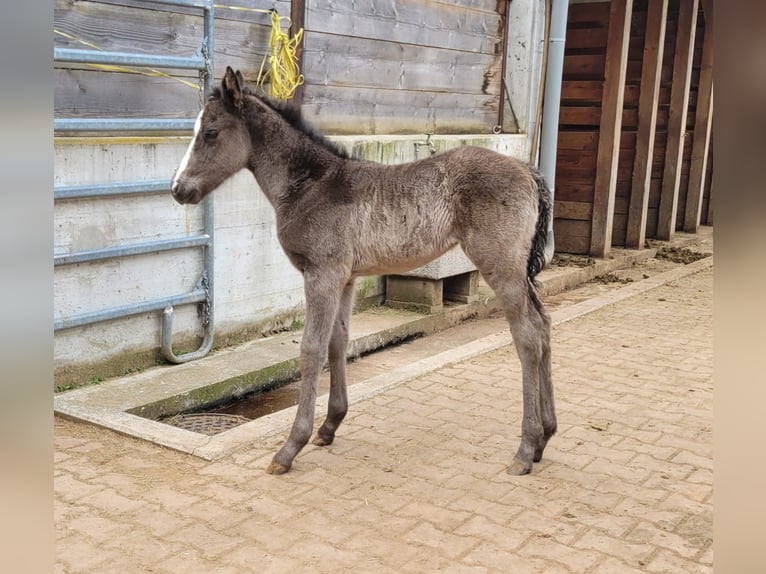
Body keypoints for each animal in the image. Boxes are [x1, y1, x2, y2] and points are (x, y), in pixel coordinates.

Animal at [172, 68, 560, 476]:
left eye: (210, 132)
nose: (178, 189)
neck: (312, 186)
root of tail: (527, 170)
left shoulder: (321, 274)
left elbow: (311, 349)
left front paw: (290, 448)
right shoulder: (345, 278)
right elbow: (338, 342)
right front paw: (329, 426)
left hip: (500, 266)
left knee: (527, 337)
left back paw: (525, 449)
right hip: (518, 271)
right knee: (543, 325)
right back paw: (545, 437)